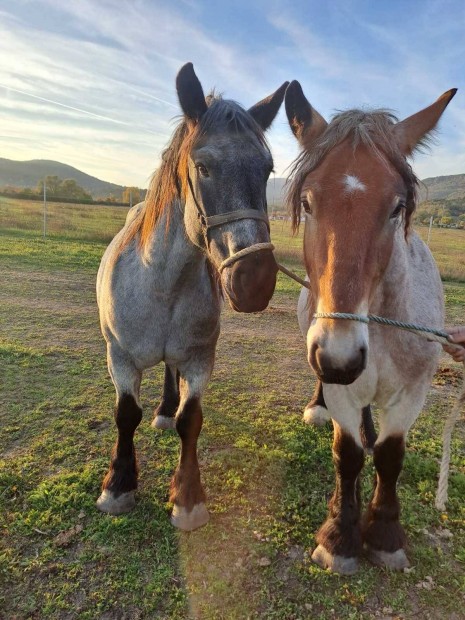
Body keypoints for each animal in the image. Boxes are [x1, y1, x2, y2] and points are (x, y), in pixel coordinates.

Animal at [96, 61, 286, 528]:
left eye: (268, 169)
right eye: (202, 167)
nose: (255, 280)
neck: (162, 282)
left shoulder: (201, 359)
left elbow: (191, 420)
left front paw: (187, 495)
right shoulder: (119, 358)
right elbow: (125, 415)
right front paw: (119, 485)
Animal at [284, 82, 454, 576]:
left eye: (397, 207)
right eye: (308, 202)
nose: (339, 358)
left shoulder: (413, 392)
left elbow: (391, 456)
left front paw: (384, 534)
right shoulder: (340, 383)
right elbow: (348, 455)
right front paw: (341, 535)